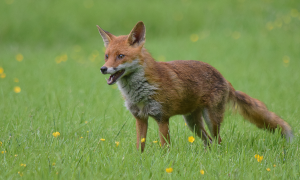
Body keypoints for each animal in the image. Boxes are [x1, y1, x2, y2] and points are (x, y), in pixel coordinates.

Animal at [96, 21, 292, 151]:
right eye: (107, 56)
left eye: (120, 56)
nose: (103, 69)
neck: (140, 92)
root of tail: (223, 77)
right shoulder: (140, 118)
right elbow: (140, 147)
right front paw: (141, 161)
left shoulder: (162, 118)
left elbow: (165, 147)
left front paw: (164, 162)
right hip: (193, 123)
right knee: (208, 141)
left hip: (211, 120)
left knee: (218, 141)